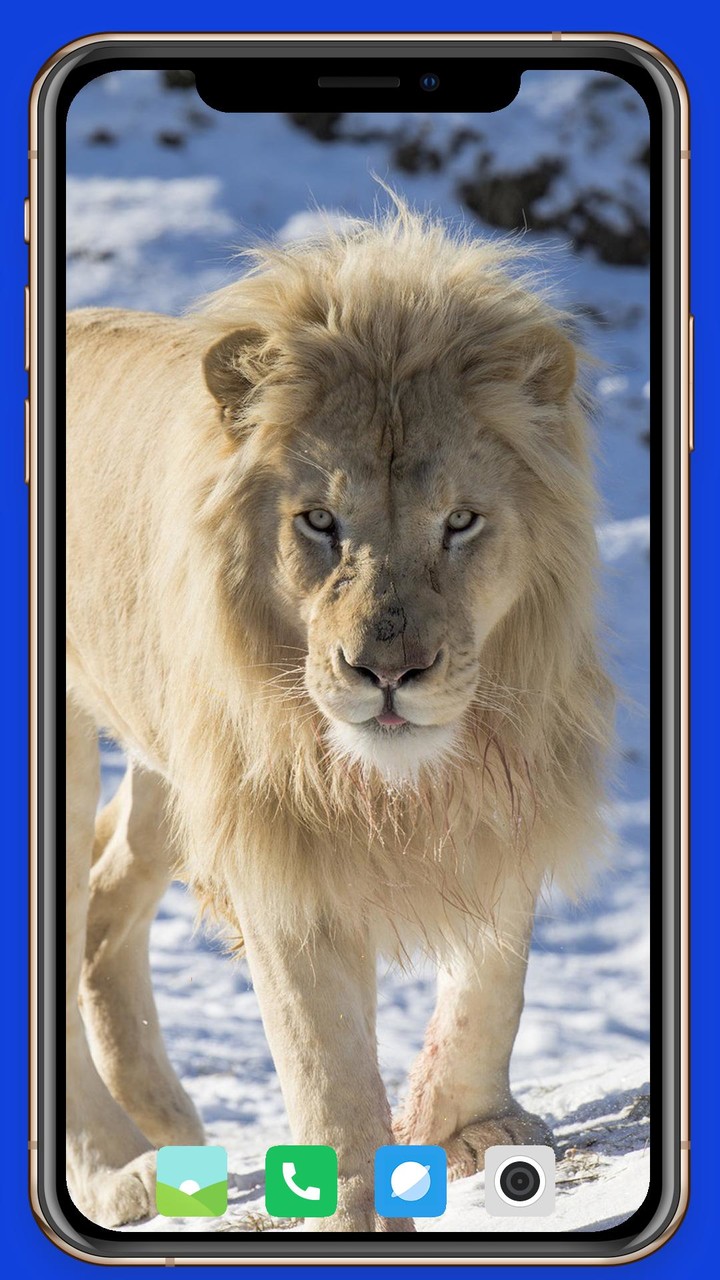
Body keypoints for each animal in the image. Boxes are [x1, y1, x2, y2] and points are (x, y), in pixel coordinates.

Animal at [65, 204, 613, 1232]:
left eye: (460, 521)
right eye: (320, 522)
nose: (386, 672)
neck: (406, 778)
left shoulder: (510, 784)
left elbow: (495, 975)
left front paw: (472, 1126)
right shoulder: (277, 842)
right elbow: (325, 1060)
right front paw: (352, 1207)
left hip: (169, 758)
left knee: (107, 892)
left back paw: (169, 1128)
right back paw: (116, 1168)